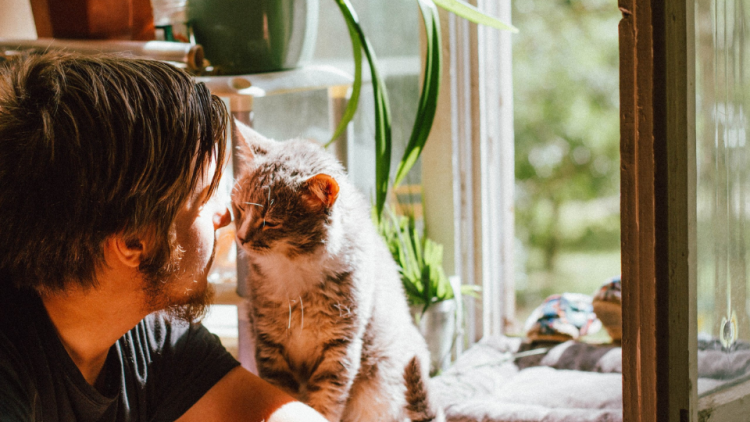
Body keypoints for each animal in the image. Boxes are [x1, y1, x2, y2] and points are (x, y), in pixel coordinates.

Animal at [232, 119, 444, 422]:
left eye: (270, 222)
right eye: (239, 208)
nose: (240, 238)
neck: (293, 269)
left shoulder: (340, 347)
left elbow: (325, 402)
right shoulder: (269, 343)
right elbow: (282, 393)